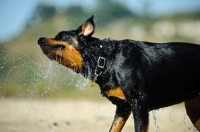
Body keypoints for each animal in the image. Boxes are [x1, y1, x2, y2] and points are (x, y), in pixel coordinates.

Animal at [38, 16, 200, 131]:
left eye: (59, 36)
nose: (39, 39)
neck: (104, 60)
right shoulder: (123, 108)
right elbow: (113, 129)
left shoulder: (140, 102)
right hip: (193, 109)